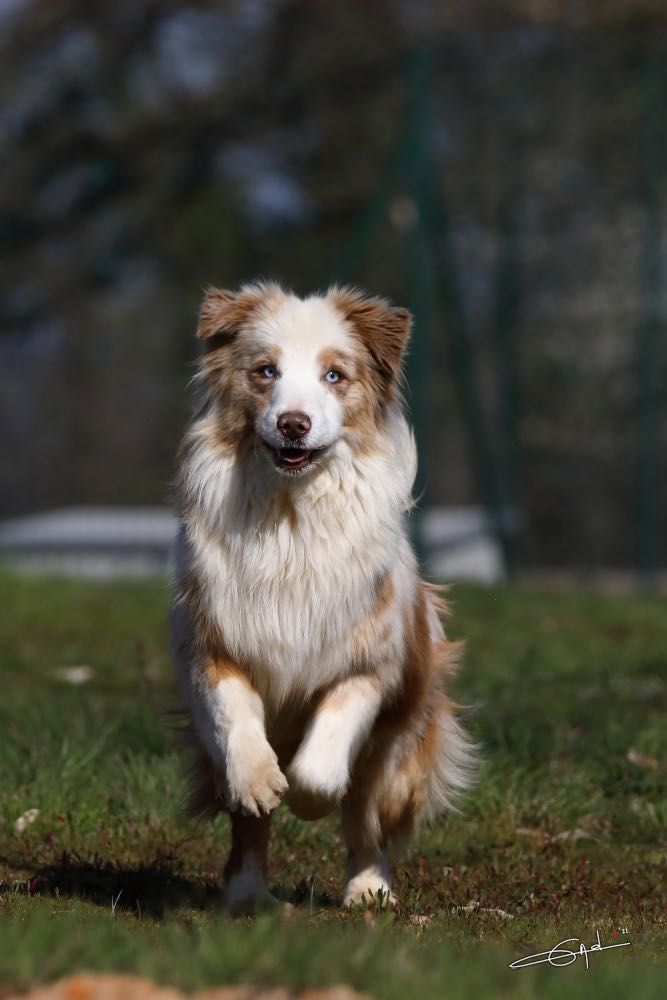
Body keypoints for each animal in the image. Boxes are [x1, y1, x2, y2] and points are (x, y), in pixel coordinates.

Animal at [172, 284, 474, 916]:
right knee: (249, 832)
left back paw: (369, 891)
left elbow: (323, 754)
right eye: (265, 371)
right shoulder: (210, 643)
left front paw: (308, 800)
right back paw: (249, 896)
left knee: (367, 819)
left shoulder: (370, 662)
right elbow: (234, 718)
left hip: (397, 749)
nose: (293, 424)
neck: (293, 514)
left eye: (334, 375)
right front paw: (259, 780)